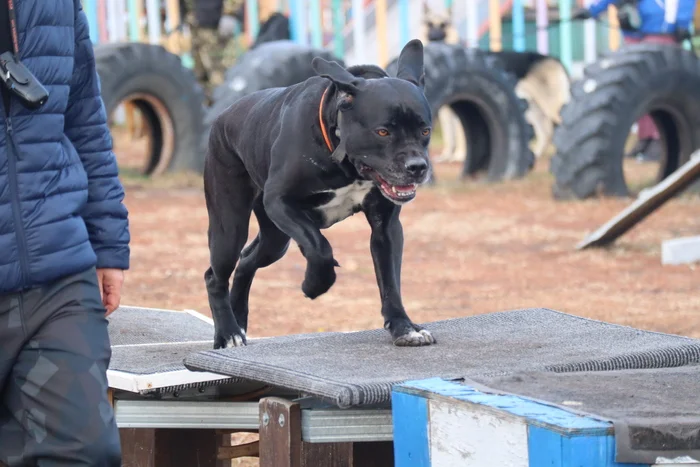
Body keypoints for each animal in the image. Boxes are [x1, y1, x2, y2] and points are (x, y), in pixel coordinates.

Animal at [201, 39, 438, 348]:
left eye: (425, 130)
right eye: (383, 132)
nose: (417, 167)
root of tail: (224, 116)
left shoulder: (386, 227)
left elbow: (390, 281)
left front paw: (404, 327)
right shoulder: (280, 202)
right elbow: (318, 246)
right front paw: (314, 284)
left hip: (275, 240)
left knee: (246, 262)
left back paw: (238, 321)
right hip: (229, 228)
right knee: (215, 275)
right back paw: (228, 333)